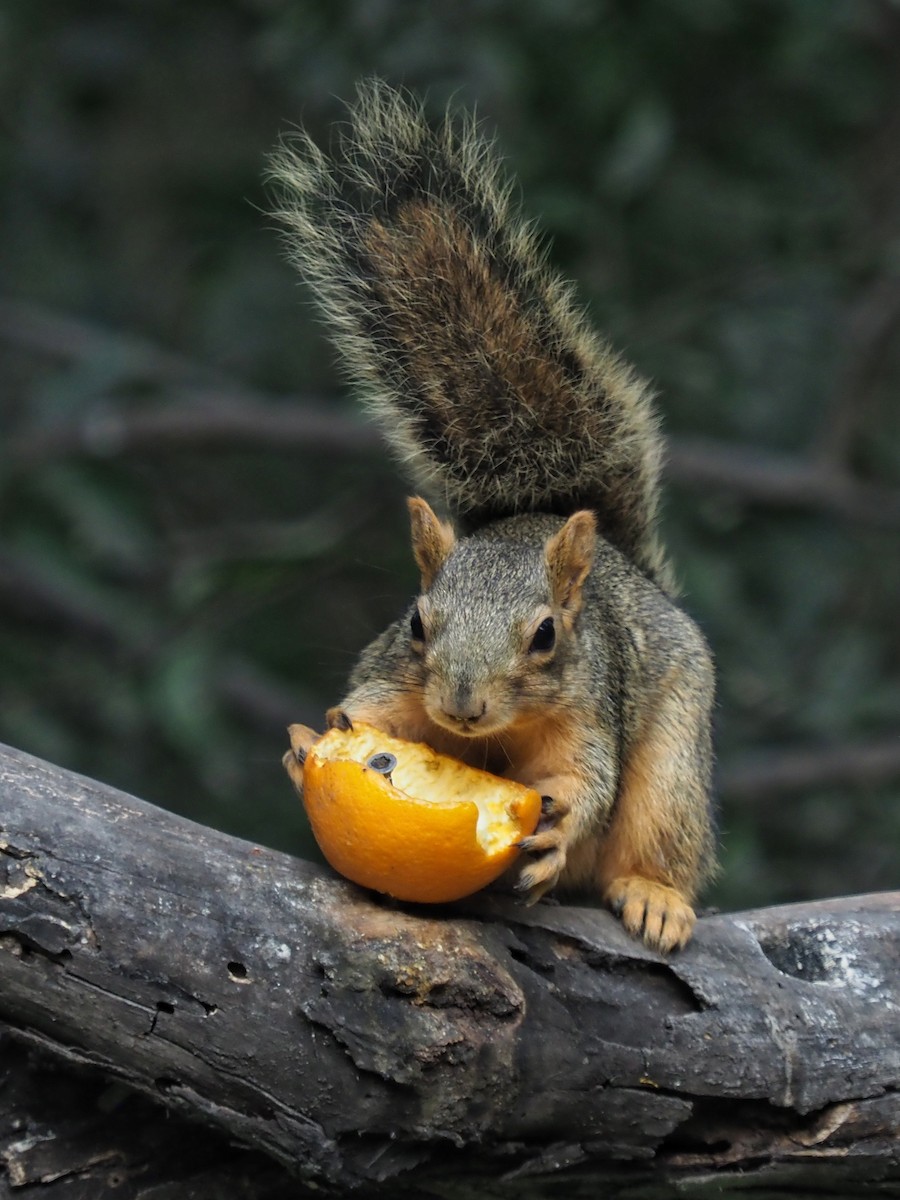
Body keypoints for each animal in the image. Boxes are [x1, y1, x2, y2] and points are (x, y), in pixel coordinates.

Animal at [271, 81, 716, 952]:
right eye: (416, 622)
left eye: (545, 636)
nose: (461, 707)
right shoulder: (397, 680)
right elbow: (369, 710)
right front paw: (312, 743)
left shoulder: (587, 711)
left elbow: (586, 780)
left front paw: (562, 826)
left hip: (679, 751)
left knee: (660, 831)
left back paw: (656, 897)